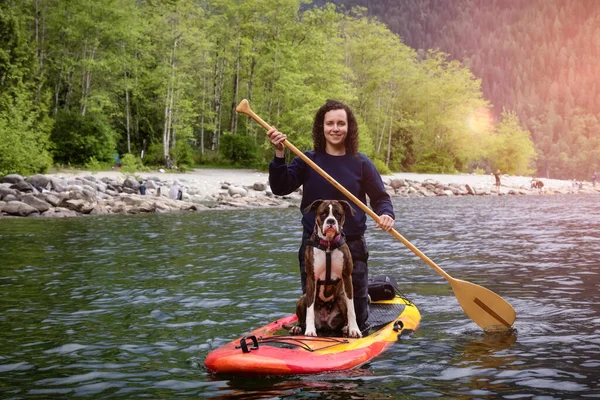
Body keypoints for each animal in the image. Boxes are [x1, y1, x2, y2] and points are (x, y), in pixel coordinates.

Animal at [290, 200, 364, 338]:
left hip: (341, 298)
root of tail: (325, 323)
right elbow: (309, 309)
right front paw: (310, 330)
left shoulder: (347, 277)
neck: (328, 245)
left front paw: (354, 329)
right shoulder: (311, 279)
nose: (331, 221)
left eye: (338, 214)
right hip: (302, 299)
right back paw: (297, 327)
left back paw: (346, 327)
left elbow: (351, 309)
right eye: (323, 213)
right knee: (301, 318)